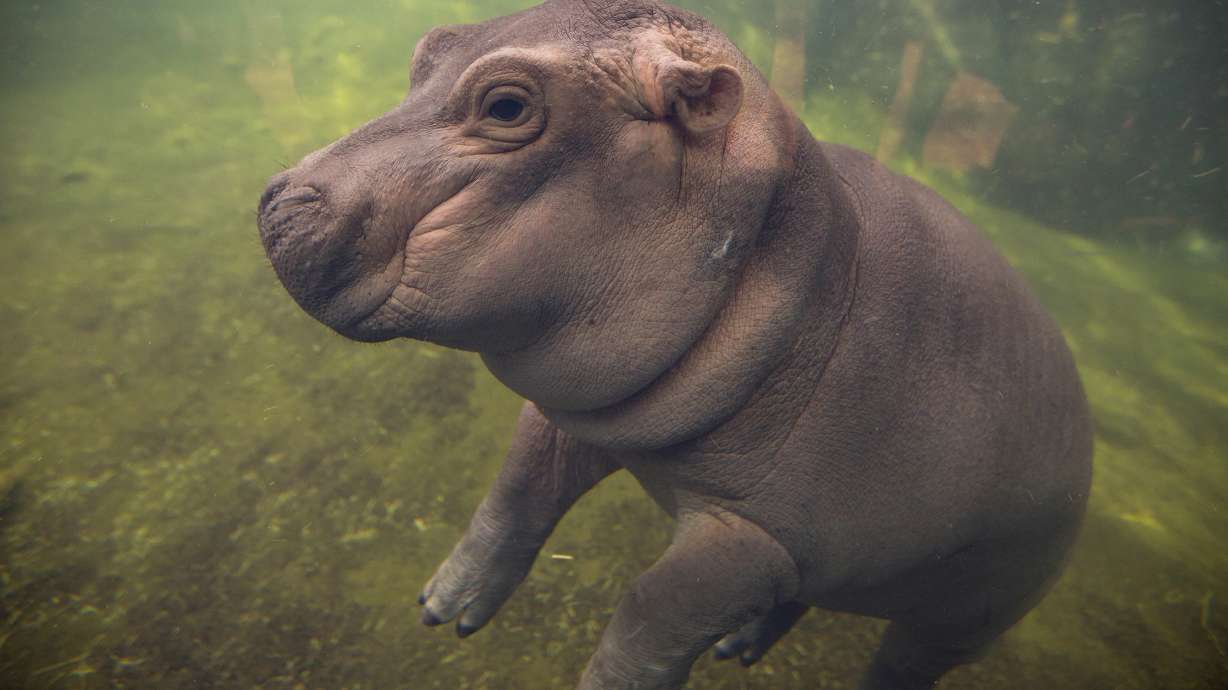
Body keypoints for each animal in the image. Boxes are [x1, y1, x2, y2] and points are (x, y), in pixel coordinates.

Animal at [256, 1, 1093, 687]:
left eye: (506, 104)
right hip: (839, 562)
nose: (276, 200)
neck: (801, 264)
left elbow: (650, 609)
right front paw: (443, 607)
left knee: (901, 665)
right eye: (429, 47)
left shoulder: (753, 536)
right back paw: (738, 646)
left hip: (963, 618)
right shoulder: (585, 409)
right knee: (800, 597)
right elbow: (516, 493)